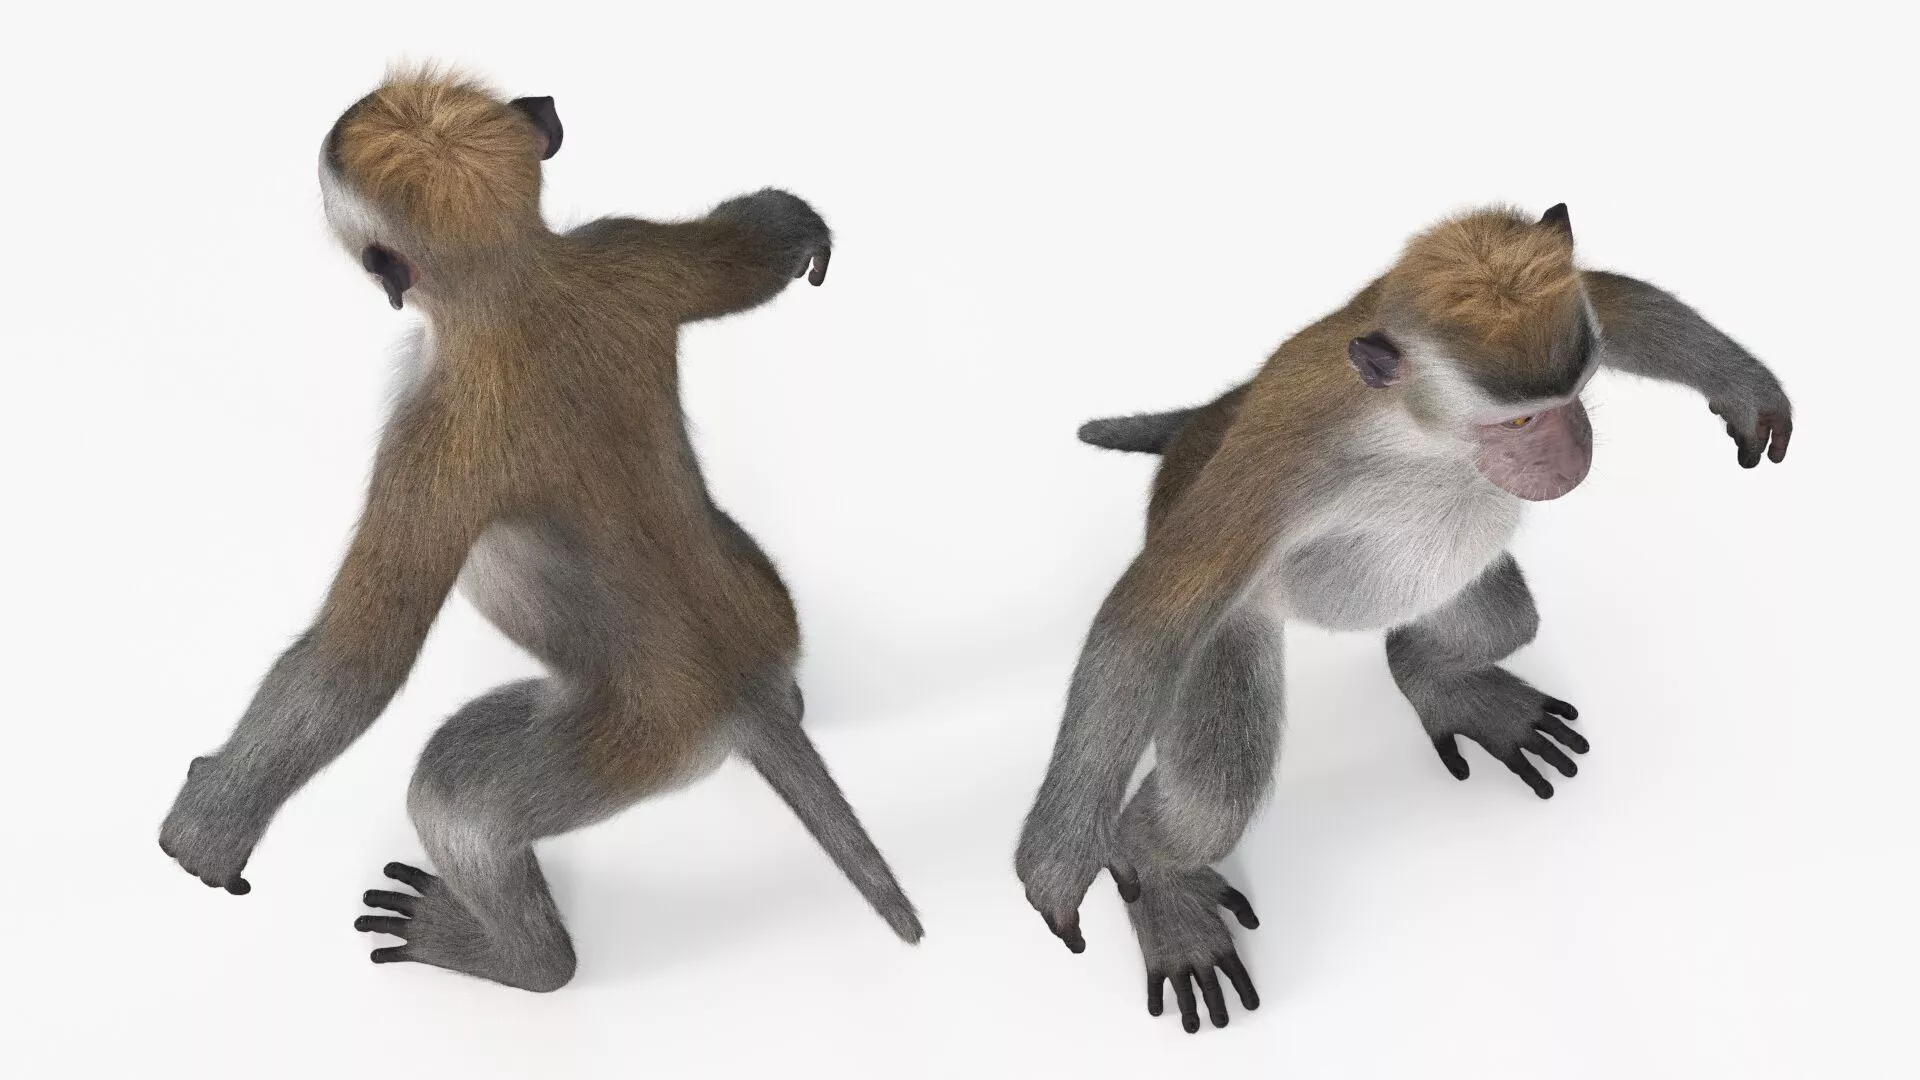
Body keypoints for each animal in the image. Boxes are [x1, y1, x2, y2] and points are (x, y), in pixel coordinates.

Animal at [157, 68, 920, 993]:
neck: (521, 286)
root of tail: (744, 698)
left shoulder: (429, 427)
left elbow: (359, 662)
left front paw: (211, 822)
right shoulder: (616, 249)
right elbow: (735, 253)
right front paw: (798, 230)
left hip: (630, 744)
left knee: (457, 791)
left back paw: (526, 958)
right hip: (766, 600)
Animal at [1015, 203, 1792, 1033]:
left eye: (1572, 393)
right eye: (1522, 421)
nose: (1574, 447)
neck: (1420, 434)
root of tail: (1202, 425)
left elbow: (1610, 298)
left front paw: (1745, 386)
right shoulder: (1289, 466)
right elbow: (1151, 616)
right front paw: (1060, 859)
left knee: (1501, 620)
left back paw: (1434, 677)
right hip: (1231, 615)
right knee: (1216, 792)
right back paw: (1152, 869)